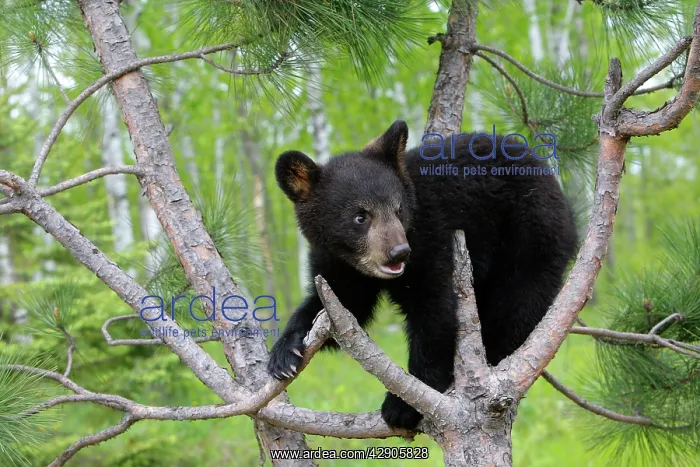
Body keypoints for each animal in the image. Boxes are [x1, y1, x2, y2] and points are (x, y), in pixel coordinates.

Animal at [268, 120, 578, 430]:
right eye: (360, 216)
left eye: (398, 210)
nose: (399, 252)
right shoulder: (337, 265)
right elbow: (342, 307)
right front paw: (284, 352)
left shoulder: (433, 240)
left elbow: (434, 310)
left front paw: (403, 404)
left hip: (530, 236)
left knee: (519, 301)